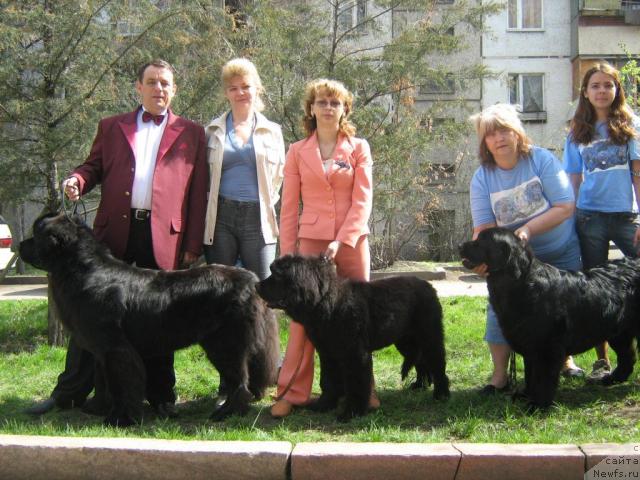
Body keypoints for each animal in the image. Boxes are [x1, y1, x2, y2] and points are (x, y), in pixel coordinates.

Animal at [19, 212, 280, 426]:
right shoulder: (102, 348)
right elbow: (105, 380)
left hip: (225, 344)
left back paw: (226, 413)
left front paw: (121, 419)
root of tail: (250, 279)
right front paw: (101, 409)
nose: (20, 244)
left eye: (36, 234)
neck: (84, 270)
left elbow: (123, 382)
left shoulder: (116, 347)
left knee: (239, 382)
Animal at [256, 255, 450, 420]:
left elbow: (356, 383)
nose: (257, 285)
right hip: (405, 340)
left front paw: (351, 412)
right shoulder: (328, 353)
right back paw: (420, 385)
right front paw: (324, 405)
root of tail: (428, 286)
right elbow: (329, 380)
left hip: (429, 335)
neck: (328, 303)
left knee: (437, 362)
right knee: (421, 360)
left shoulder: (355, 354)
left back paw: (441, 394)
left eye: (276, 275)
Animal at [460, 227, 640, 410]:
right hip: (619, 332)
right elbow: (530, 374)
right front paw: (525, 394)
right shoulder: (529, 344)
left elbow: (542, 378)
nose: (460, 245)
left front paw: (537, 405)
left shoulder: (546, 347)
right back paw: (611, 379)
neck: (520, 284)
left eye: (481, 241)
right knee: (627, 357)